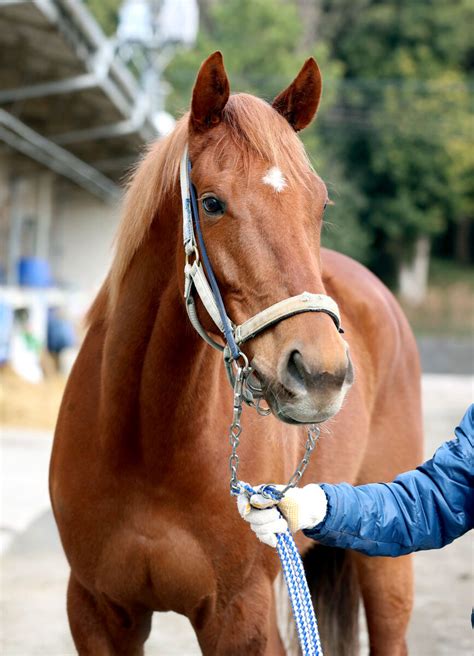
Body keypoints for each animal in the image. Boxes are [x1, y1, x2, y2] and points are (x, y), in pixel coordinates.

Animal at [51, 53, 422, 652]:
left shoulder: (241, 618)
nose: (321, 374)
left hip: (387, 568)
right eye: (212, 203)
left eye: (319, 204)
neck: (146, 448)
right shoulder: (96, 612)